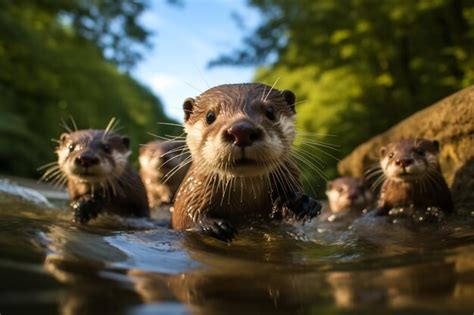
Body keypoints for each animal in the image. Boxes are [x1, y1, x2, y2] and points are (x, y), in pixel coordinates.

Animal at [170, 83, 322, 242]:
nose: (241, 130)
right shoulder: (193, 189)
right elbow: (185, 216)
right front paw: (212, 225)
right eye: (210, 116)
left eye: (270, 111)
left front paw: (302, 202)